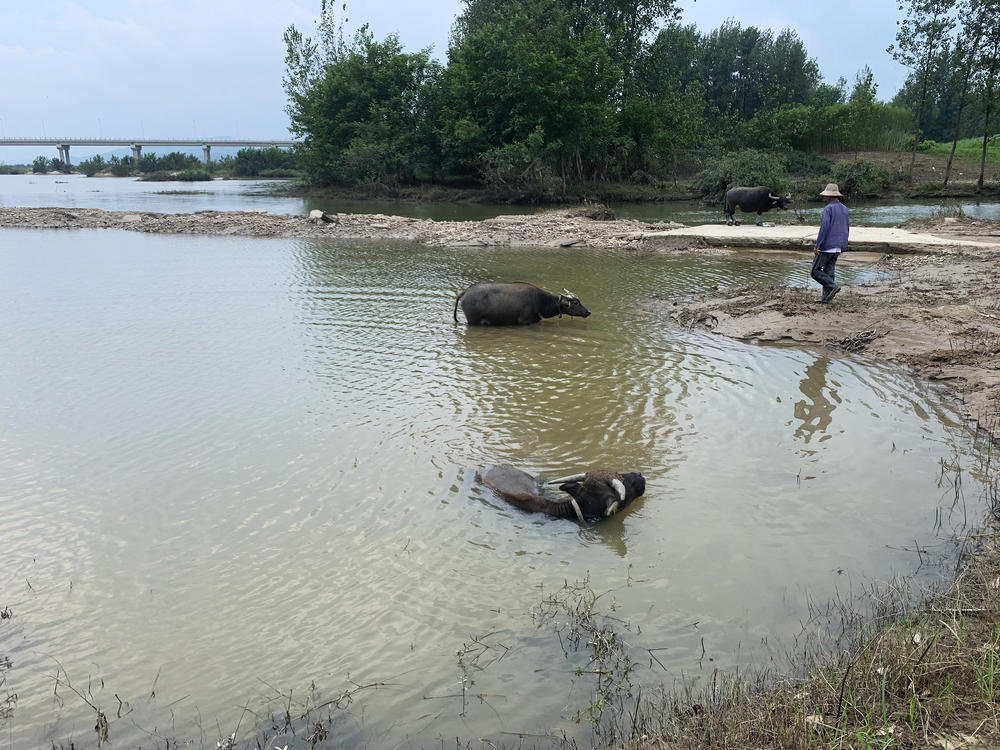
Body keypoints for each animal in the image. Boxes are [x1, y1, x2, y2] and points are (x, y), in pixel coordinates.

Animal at [452, 282, 588, 326]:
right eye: (575, 302)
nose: (588, 312)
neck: (540, 301)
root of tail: (465, 292)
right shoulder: (525, 322)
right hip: (473, 321)